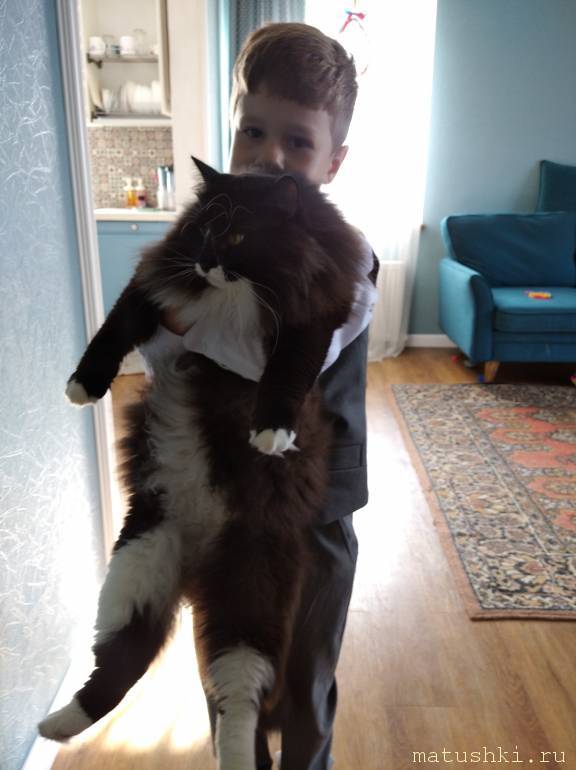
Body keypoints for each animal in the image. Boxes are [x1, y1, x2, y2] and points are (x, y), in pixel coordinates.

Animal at [38, 157, 364, 769]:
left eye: (236, 237)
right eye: (206, 231)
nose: (207, 262)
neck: (238, 290)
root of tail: (197, 562)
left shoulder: (309, 323)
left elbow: (285, 377)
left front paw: (271, 433)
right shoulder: (148, 291)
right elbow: (108, 336)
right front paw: (81, 388)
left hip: (248, 596)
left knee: (236, 702)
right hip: (138, 569)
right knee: (122, 665)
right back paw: (56, 724)